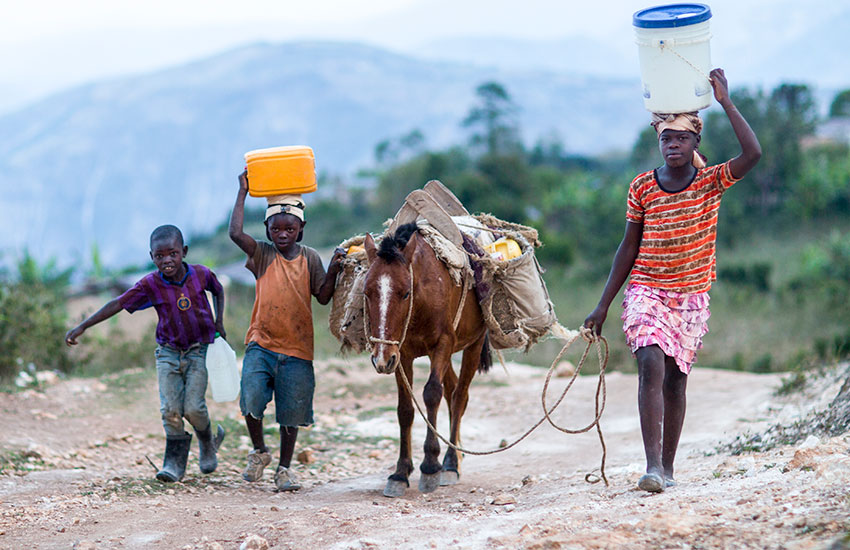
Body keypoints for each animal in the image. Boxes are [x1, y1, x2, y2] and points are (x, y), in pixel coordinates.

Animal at [360, 224, 490, 500]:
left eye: (405, 293)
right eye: (366, 292)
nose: (379, 359)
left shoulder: (442, 345)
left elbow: (431, 394)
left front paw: (430, 466)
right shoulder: (401, 354)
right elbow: (405, 409)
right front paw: (400, 473)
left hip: (472, 345)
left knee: (459, 396)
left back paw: (450, 463)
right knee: (452, 391)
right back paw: (456, 455)